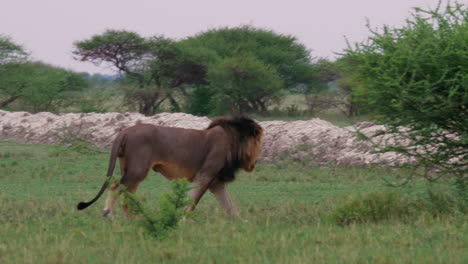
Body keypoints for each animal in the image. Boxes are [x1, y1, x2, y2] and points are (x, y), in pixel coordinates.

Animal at [78, 116, 266, 218]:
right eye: (259, 142)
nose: (257, 160)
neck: (234, 142)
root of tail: (125, 131)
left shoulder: (216, 183)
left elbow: (229, 205)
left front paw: (241, 224)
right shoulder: (205, 175)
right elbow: (193, 200)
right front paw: (182, 219)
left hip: (130, 169)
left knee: (127, 193)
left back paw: (134, 218)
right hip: (137, 170)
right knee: (115, 187)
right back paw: (108, 214)